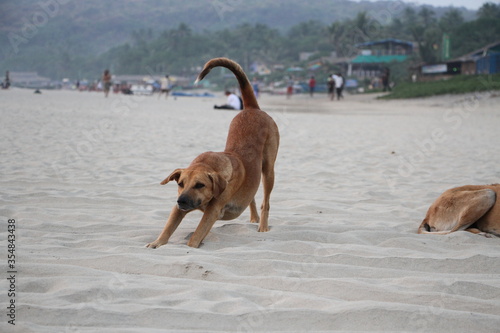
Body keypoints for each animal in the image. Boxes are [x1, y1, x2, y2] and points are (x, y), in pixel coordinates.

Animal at [146, 58, 280, 248]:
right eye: (180, 183)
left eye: (200, 185)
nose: (181, 201)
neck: (207, 164)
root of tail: (252, 108)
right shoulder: (178, 209)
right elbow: (168, 228)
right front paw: (157, 243)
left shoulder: (212, 210)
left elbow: (197, 235)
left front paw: (192, 245)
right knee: (252, 196)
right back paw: (254, 218)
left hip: (268, 170)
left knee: (265, 201)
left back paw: (263, 226)